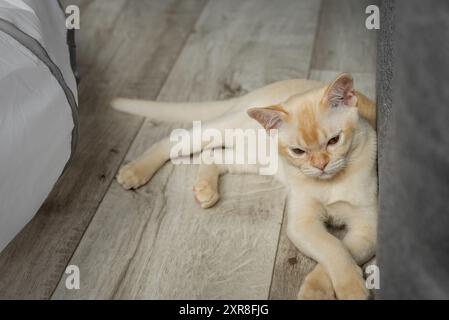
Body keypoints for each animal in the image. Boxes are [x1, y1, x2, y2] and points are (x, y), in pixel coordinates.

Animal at [111, 73, 374, 300]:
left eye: (334, 141)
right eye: (298, 151)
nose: (320, 166)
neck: (331, 182)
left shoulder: (367, 229)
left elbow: (340, 250)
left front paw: (320, 289)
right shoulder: (303, 224)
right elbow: (333, 248)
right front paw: (348, 289)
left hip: (257, 158)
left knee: (212, 155)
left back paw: (205, 189)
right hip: (222, 132)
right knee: (173, 141)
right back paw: (135, 171)